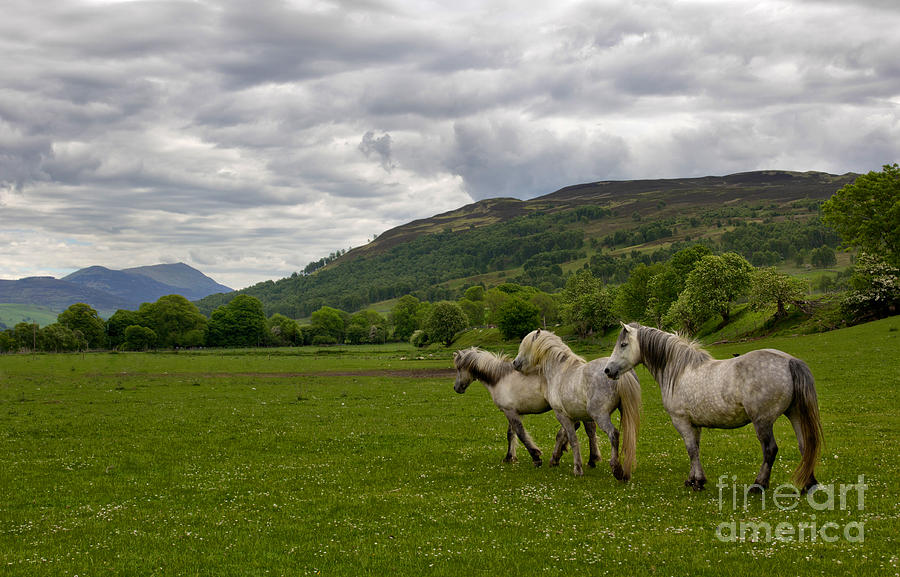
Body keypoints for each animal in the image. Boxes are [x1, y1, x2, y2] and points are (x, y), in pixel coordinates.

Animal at [450, 346, 596, 468]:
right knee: (588, 430)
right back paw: (589, 459)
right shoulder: (512, 411)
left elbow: (520, 433)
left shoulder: (510, 412)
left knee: (574, 427)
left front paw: (535, 457)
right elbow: (511, 433)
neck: (499, 378)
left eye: (459, 368)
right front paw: (509, 457)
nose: (456, 388)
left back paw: (559, 457)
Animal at [512, 330, 640, 480]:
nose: (514, 363)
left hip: (601, 416)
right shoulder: (577, 416)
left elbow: (572, 439)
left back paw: (616, 469)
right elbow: (568, 435)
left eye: (525, 347)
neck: (559, 371)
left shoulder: (562, 415)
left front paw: (577, 468)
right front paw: (557, 459)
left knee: (613, 434)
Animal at [604, 322, 824, 488]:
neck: (679, 371)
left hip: (763, 421)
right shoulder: (694, 424)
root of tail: (789, 361)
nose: (607, 370)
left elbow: (691, 449)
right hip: (795, 414)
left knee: (770, 450)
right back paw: (809, 484)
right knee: (805, 445)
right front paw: (693, 479)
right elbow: (695, 449)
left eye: (623, 344)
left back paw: (758, 485)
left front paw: (698, 482)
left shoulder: (681, 421)